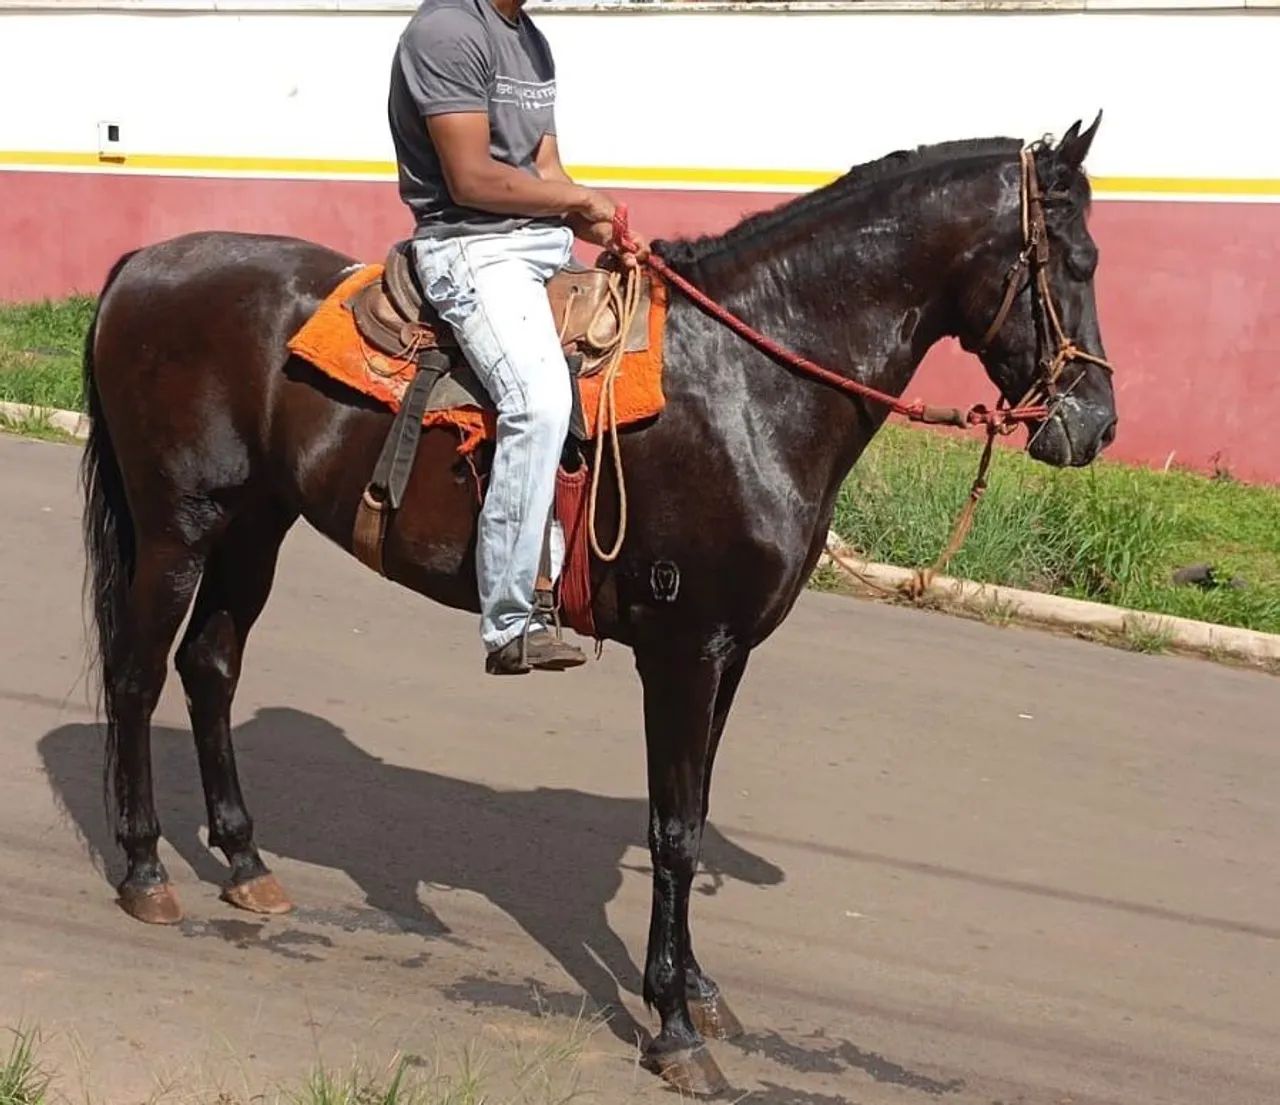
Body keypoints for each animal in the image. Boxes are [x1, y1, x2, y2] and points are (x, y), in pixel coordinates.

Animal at [79, 118, 1116, 1094]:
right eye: (1074, 262)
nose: (1096, 424)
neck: (751, 383)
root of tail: (142, 264)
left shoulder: (731, 655)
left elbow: (693, 808)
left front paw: (696, 988)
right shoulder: (685, 650)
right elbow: (674, 830)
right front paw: (675, 1027)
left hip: (257, 525)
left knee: (209, 668)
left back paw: (245, 865)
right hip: (180, 528)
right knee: (136, 676)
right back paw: (145, 868)